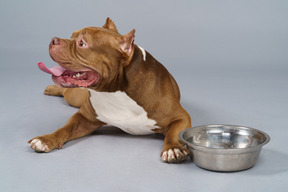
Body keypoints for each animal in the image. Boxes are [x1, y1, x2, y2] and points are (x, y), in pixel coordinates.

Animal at [28, 18, 191, 163]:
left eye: (82, 43)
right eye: (71, 35)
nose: (53, 40)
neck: (114, 92)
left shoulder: (181, 117)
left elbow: (174, 133)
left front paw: (173, 148)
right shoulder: (84, 118)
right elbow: (65, 128)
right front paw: (46, 139)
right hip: (76, 97)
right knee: (65, 92)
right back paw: (51, 89)